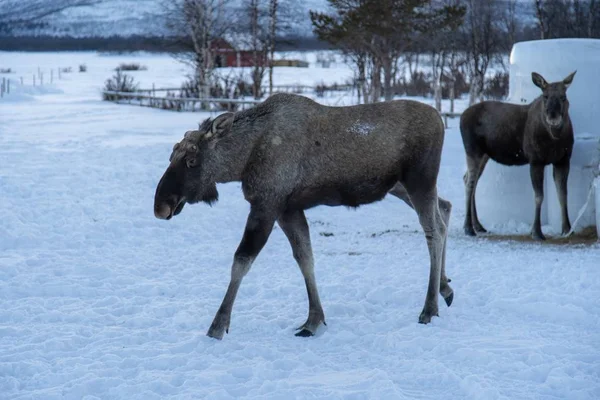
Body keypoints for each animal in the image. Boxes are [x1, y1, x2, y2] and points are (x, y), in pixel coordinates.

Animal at [152, 93, 452, 338]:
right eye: (170, 156)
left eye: (193, 161)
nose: (161, 206)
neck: (243, 161)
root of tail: (440, 118)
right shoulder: (288, 208)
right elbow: (305, 257)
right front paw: (314, 320)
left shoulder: (267, 204)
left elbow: (241, 261)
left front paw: (218, 325)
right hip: (400, 186)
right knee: (445, 209)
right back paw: (445, 288)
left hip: (420, 179)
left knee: (432, 230)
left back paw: (429, 308)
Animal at [460, 71, 576, 241]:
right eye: (545, 96)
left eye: (563, 96)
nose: (553, 117)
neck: (555, 138)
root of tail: (461, 117)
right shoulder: (535, 160)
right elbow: (539, 196)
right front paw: (536, 232)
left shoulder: (563, 160)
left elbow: (563, 195)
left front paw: (567, 229)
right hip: (472, 150)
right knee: (470, 183)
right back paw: (468, 228)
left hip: (485, 155)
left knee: (469, 180)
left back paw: (478, 225)